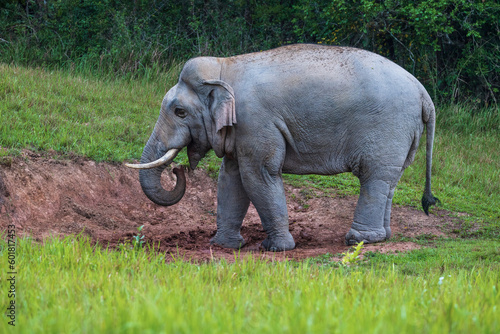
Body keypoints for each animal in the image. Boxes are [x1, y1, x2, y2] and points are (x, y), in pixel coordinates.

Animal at [125, 45, 438, 253]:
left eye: (179, 112)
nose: (177, 170)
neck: (224, 67)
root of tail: (424, 93)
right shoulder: (243, 130)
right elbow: (231, 178)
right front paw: (224, 246)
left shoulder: (255, 120)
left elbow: (258, 175)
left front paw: (276, 248)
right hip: (401, 134)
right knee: (389, 182)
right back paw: (381, 237)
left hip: (387, 128)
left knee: (374, 177)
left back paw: (358, 240)